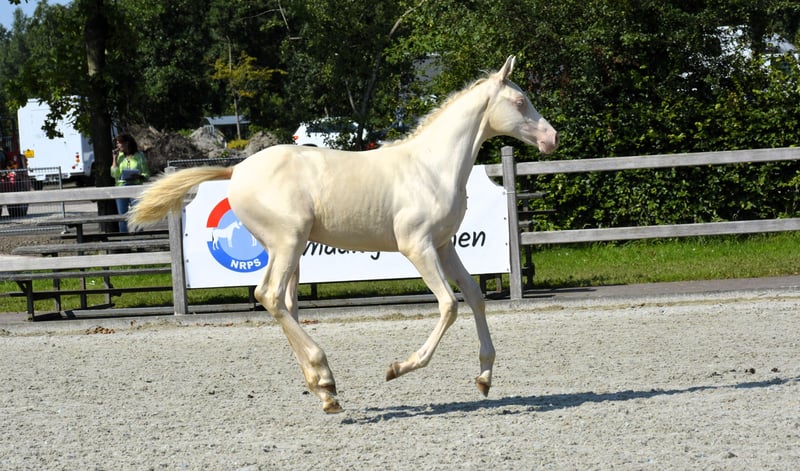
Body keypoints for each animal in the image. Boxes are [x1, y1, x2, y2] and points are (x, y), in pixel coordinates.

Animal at [129, 56, 558, 413]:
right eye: (520, 101)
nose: (551, 139)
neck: (430, 168)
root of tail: (236, 170)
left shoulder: (443, 245)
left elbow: (474, 297)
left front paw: (484, 378)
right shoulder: (417, 246)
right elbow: (450, 305)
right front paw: (398, 368)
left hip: (289, 249)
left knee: (285, 302)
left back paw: (324, 389)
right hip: (288, 241)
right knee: (269, 296)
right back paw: (325, 378)